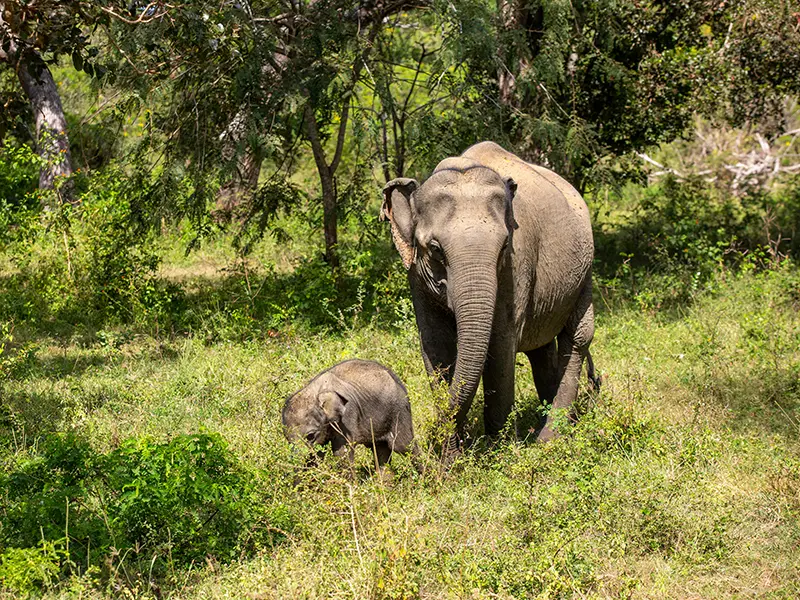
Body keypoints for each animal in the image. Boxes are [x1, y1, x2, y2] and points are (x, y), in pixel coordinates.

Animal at [282, 359, 416, 466]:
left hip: (399, 411)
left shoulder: (347, 416)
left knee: (403, 446)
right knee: (381, 450)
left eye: (310, 435)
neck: (316, 392)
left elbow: (342, 453)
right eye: (287, 439)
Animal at [380, 141, 599, 446]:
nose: (429, 439)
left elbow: (501, 344)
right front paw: (452, 455)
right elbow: (436, 344)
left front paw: (500, 449)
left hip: (585, 270)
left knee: (577, 338)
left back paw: (549, 439)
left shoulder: (515, 269)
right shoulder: (416, 275)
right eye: (435, 249)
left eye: (505, 246)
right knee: (541, 349)